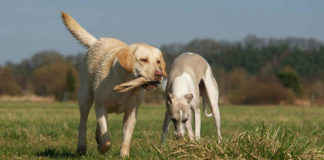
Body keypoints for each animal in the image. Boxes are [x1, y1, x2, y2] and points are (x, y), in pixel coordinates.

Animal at [60, 11, 167, 157]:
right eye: (143, 60)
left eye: (158, 61)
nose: (159, 74)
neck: (124, 85)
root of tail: (97, 41)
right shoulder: (101, 108)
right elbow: (107, 140)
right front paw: (102, 148)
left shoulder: (131, 113)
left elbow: (126, 137)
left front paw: (124, 155)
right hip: (85, 97)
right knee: (83, 122)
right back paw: (82, 147)